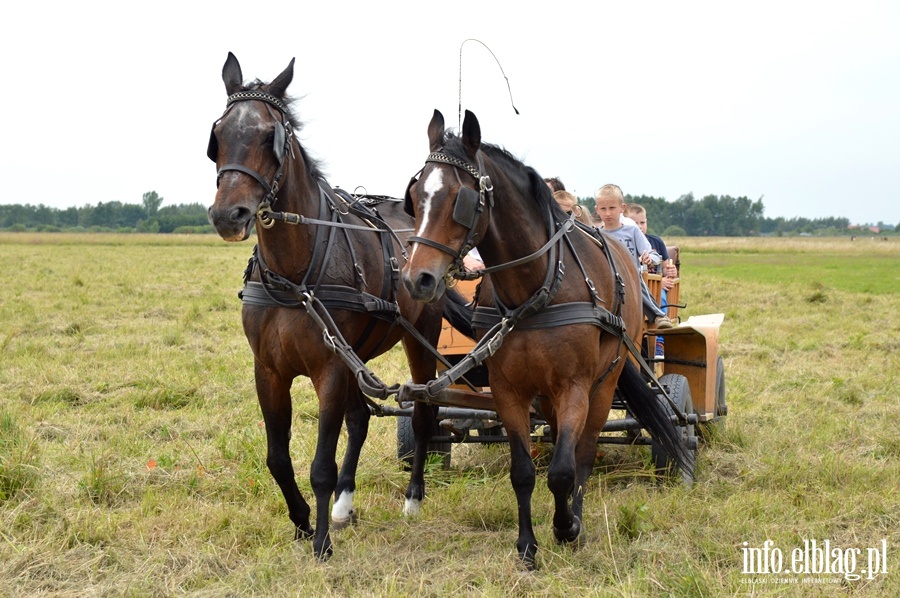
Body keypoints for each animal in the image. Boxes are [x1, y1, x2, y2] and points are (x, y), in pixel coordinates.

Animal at [206, 54, 472, 560]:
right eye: (219, 134)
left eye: (271, 135)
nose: (228, 215)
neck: (295, 275)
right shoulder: (268, 370)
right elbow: (277, 457)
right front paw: (302, 521)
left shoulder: (327, 367)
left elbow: (321, 464)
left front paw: (322, 544)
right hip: (357, 354)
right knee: (361, 417)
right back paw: (345, 504)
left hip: (418, 336)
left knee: (422, 415)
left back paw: (413, 498)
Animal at [400, 109, 688, 572]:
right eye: (414, 196)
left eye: (461, 198)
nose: (416, 279)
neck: (536, 288)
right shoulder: (508, 390)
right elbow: (523, 471)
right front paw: (527, 546)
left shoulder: (574, 387)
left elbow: (564, 470)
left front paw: (566, 527)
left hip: (603, 383)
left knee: (583, 452)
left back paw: (576, 518)